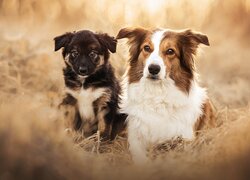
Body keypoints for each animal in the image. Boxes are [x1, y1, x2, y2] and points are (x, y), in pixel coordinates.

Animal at [116, 27, 216, 163]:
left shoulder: (185, 139)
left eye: (170, 51)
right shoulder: (135, 137)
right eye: (146, 48)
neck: (158, 95)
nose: (153, 69)